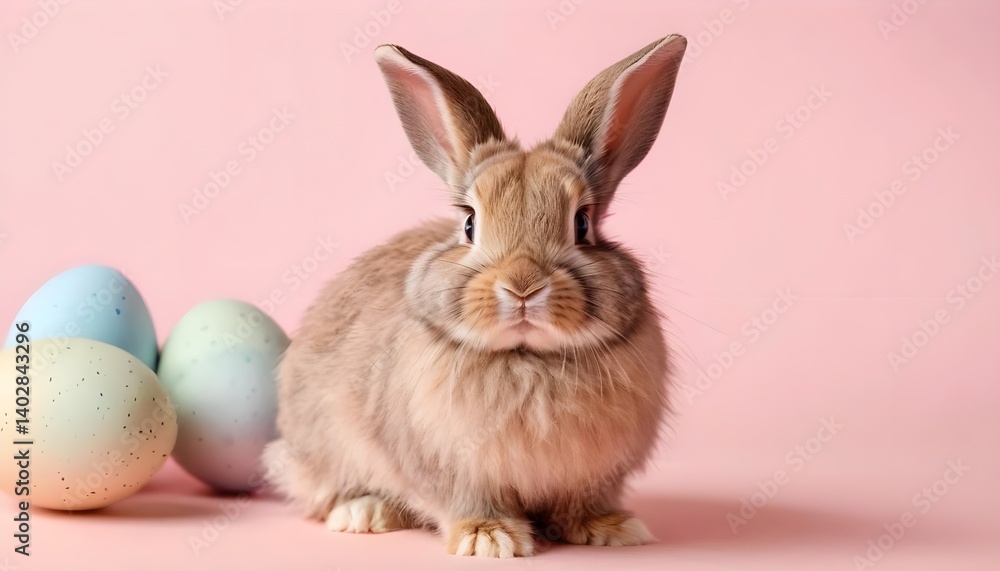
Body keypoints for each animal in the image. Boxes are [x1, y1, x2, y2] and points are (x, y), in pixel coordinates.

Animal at [264, 34, 687, 558]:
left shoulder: (598, 475)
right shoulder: (450, 470)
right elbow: (468, 502)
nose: (522, 285)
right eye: (469, 223)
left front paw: (612, 528)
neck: (527, 358)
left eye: (583, 223)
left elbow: (582, 503)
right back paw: (364, 512)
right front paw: (489, 538)